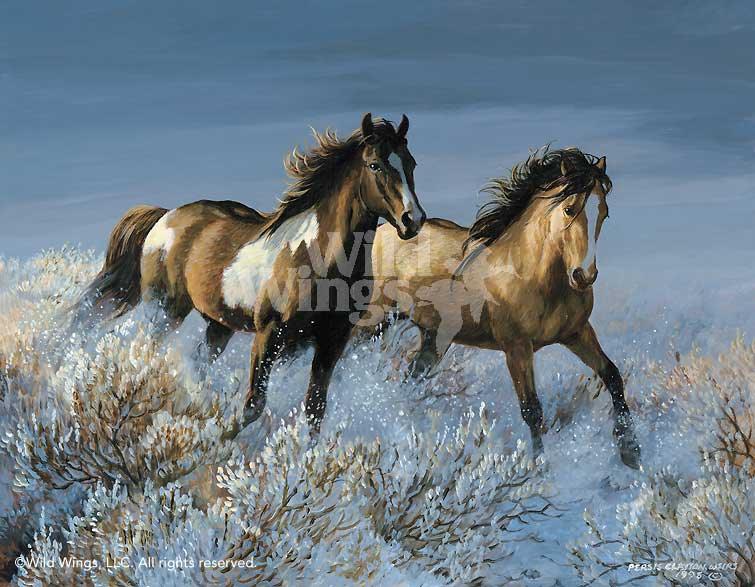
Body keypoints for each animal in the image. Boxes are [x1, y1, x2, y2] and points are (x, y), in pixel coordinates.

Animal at [80, 113, 426, 433]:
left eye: (411, 163)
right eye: (374, 165)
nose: (413, 220)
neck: (319, 259)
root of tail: (167, 216)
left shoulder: (332, 342)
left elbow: (315, 411)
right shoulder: (268, 336)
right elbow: (253, 406)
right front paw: (224, 446)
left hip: (218, 325)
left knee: (197, 363)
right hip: (164, 310)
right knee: (148, 355)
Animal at [364, 147, 640, 469]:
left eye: (604, 213)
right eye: (570, 210)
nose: (584, 276)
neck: (531, 275)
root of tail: (381, 231)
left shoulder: (577, 333)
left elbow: (612, 376)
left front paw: (631, 453)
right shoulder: (516, 347)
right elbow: (532, 409)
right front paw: (538, 470)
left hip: (433, 339)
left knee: (411, 379)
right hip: (374, 320)